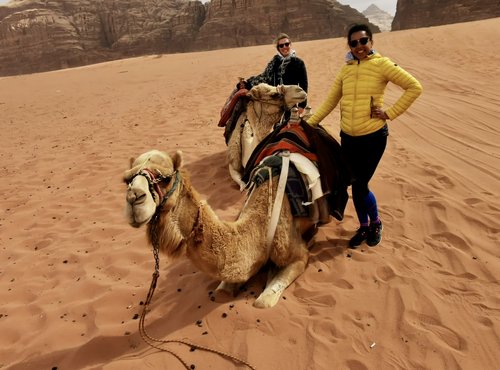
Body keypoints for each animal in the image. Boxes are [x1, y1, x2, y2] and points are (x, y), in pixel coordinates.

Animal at [123, 149, 316, 308]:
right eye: (127, 180)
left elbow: (263, 302)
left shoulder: (299, 254)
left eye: (165, 178)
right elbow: (221, 292)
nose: (134, 198)